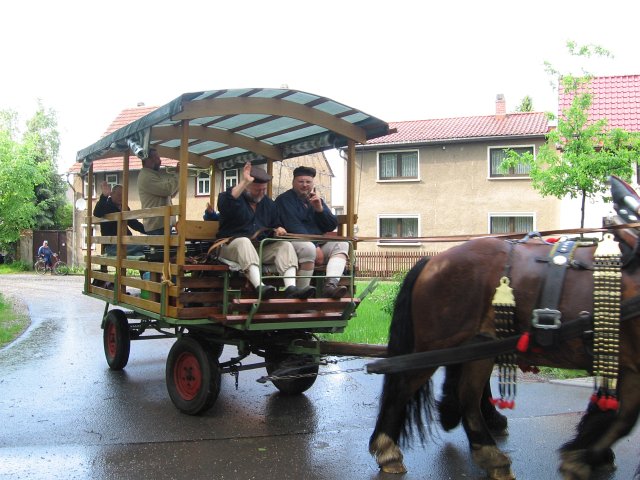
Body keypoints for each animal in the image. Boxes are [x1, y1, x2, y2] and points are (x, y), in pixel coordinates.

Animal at [368, 232, 640, 476]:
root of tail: (433, 261)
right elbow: (623, 417)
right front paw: (583, 457)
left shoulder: (628, 366)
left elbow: (623, 416)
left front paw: (587, 453)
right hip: (437, 345)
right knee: (401, 388)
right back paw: (388, 450)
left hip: (477, 348)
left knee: (468, 397)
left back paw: (490, 454)